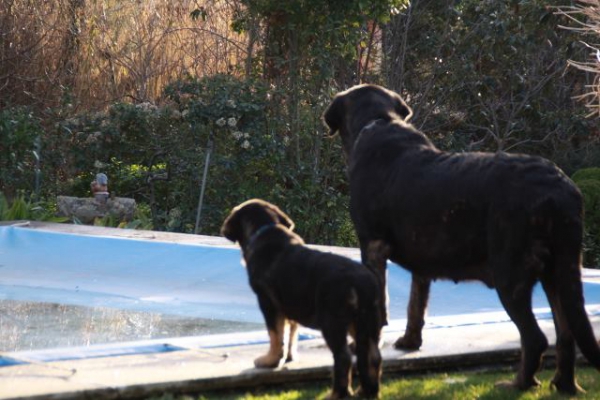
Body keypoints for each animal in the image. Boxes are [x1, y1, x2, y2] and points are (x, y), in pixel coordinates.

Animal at [221, 198, 384, 398]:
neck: (264, 230)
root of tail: (361, 282)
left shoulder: (268, 302)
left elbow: (275, 334)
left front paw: (270, 361)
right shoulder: (292, 304)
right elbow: (291, 333)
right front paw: (288, 357)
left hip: (333, 321)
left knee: (344, 357)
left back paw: (337, 394)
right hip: (365, 322)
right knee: (372, 356)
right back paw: (367, 392)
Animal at [324, 84, 600, 394]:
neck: (378, 121)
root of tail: (561, 191)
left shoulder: (372, 245)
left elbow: (381, 302)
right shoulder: (422, 260)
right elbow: (415, 304)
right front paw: (410, 342)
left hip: (511, 273)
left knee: (535, 337)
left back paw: (517, 384)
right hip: (559, 270)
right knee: (566, 332)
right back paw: (564, 385)